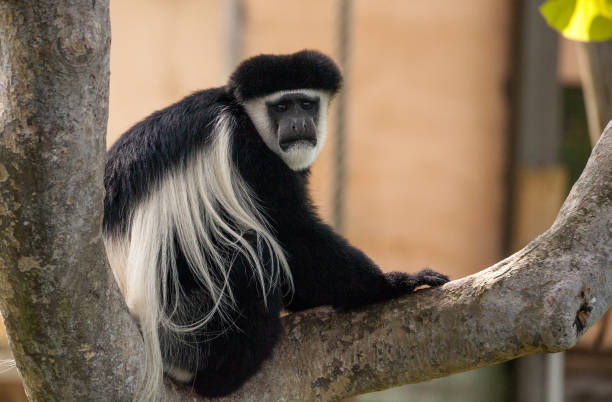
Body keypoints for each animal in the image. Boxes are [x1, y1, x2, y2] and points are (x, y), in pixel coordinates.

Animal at [103, 51, 448, 400]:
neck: (239, 111)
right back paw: (224, 375)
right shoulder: (248, 154)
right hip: (185, 323)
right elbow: (294, 234)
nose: (298, 123)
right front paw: (395, 282)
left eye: (307, 104)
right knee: (253, 255)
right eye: (281, 107)